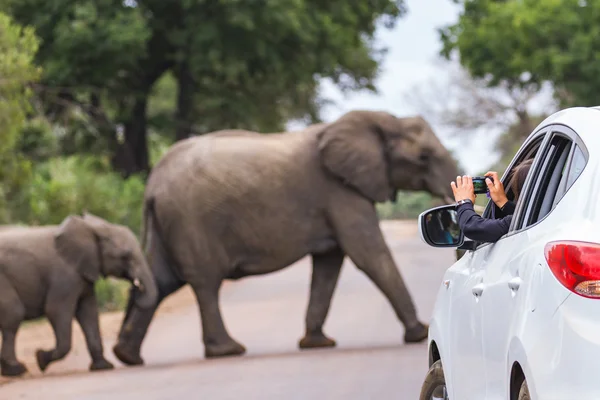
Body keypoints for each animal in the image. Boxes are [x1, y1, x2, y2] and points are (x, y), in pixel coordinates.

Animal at [0, 214, 157, 376]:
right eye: (125, 255)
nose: (135, 287)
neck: (92, 228)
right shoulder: (65, 277)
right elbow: (56, 311)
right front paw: (41, 359)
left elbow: (89, 313)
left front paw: (103, 367)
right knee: (14, 315)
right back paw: (16, 370)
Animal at [113, 110, 460, 366]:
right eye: (424, 157)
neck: (381, 121)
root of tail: (152, 184)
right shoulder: (340, 191)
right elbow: (368, 254)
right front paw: (417, 334)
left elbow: (329, 264)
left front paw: (317, 344)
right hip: (191, 220)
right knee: (205, 282)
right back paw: (228, 351)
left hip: (169, 222)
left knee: (159, 281)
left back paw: (127, 356)